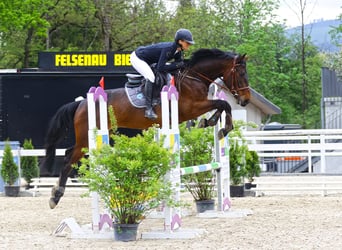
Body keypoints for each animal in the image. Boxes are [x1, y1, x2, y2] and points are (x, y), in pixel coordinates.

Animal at [44, 47, 250, 208]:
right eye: (241, 74)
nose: (246, 100)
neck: (193, 77)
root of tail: (80, 103)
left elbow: (221, 105)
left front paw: (211, 122)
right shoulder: (191, 108)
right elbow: (223, 104)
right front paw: (221, 127)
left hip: (89, 138)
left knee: (69, 152)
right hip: (87, 138)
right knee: (68, 159)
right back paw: (56, 196)